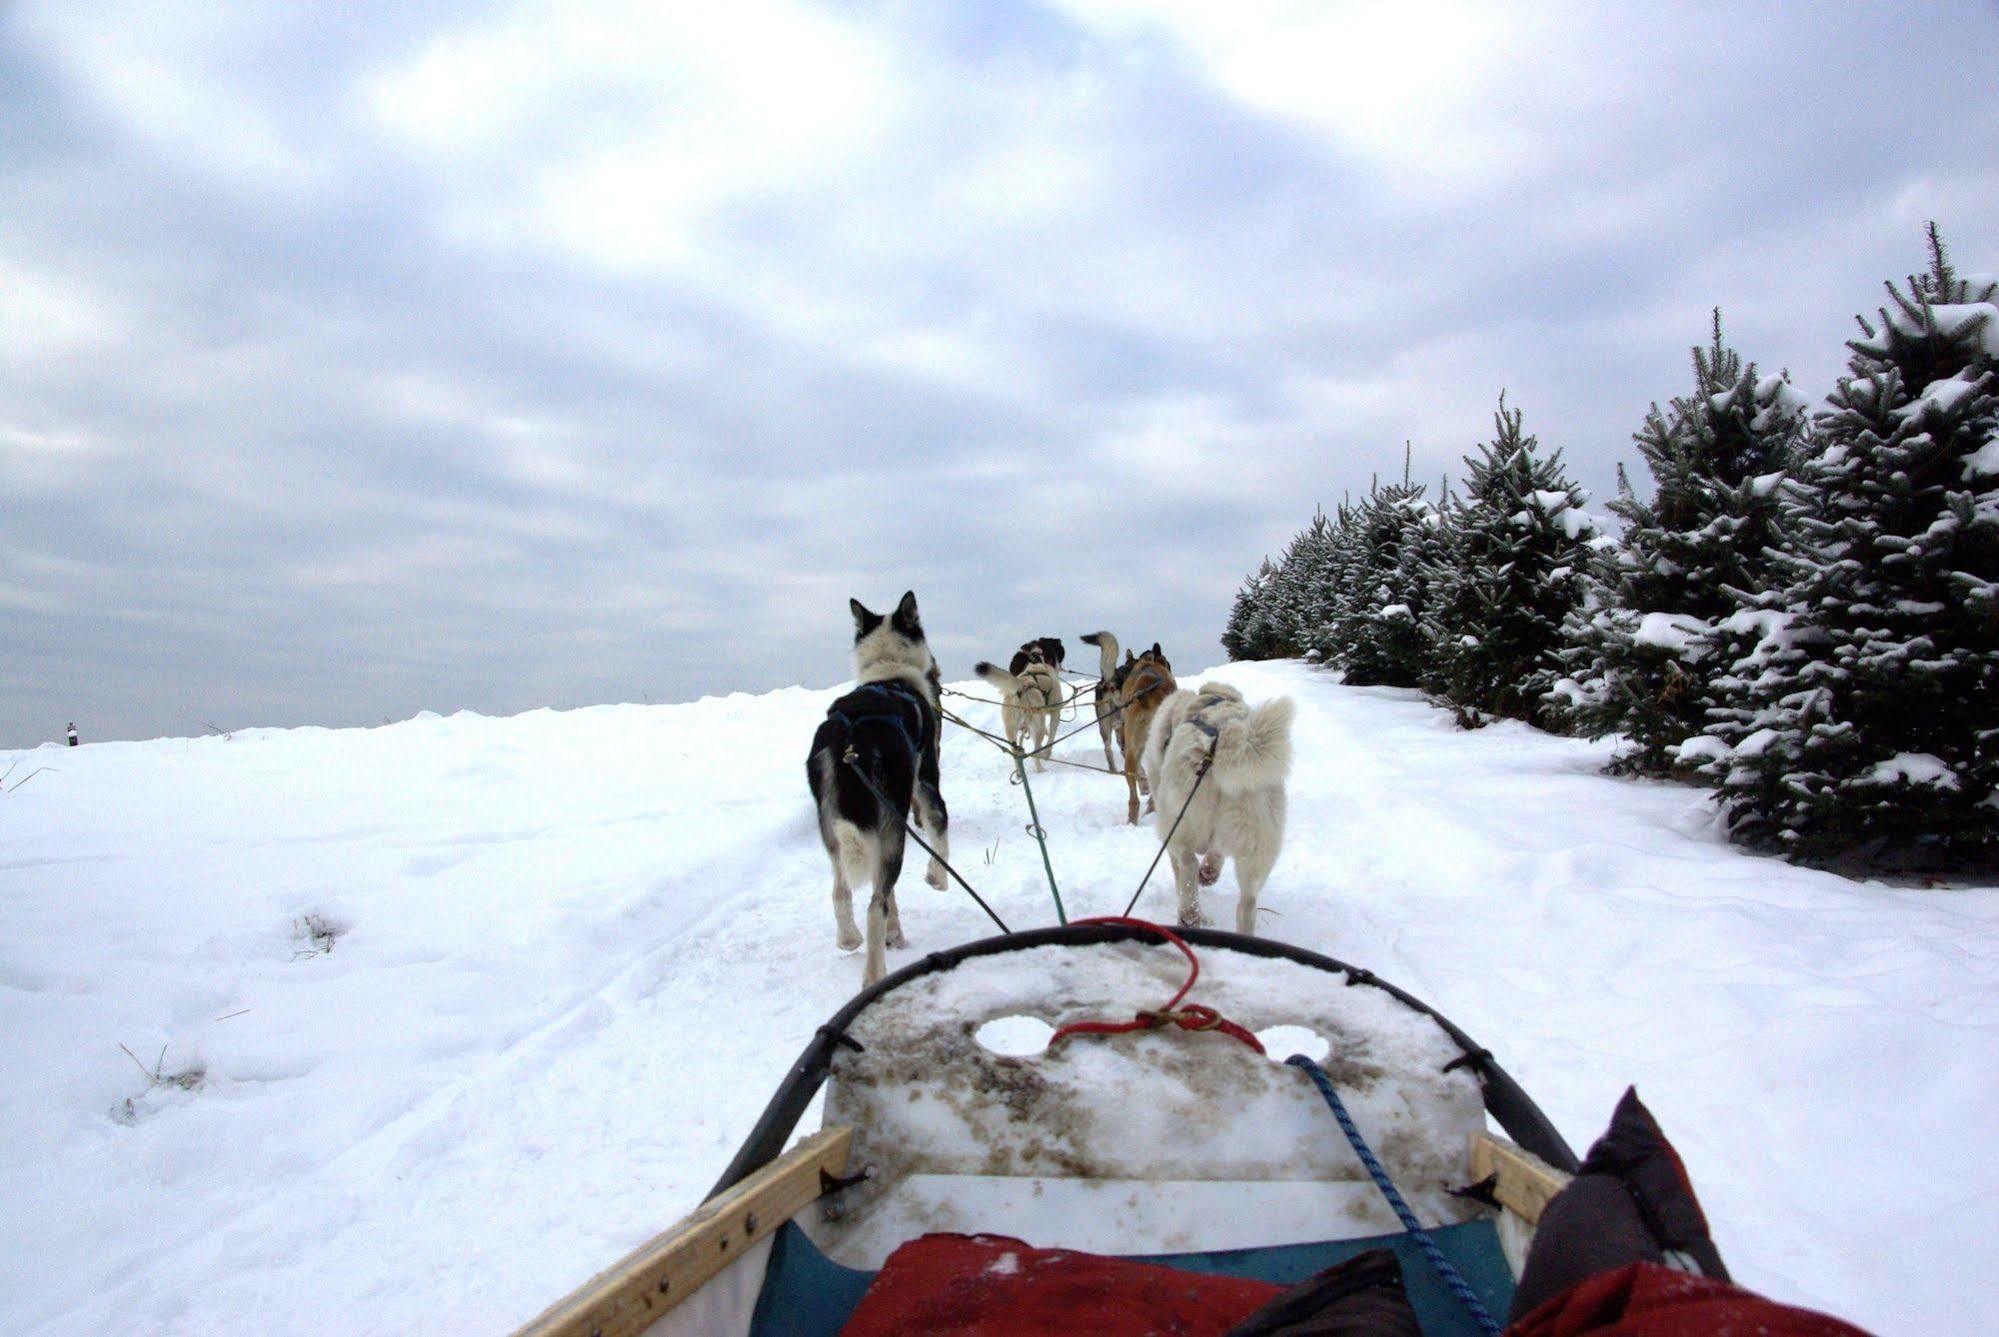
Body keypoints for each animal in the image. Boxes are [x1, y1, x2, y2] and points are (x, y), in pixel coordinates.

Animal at [803, 591, 951, 979]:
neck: (888, 672)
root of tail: (851, 739)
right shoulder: (927, 782)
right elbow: (940, 836)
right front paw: (938, 878)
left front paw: (894, 932)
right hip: (894, 822)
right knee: (874, 906)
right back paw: (874, 973)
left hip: (834, 829)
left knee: (843, 892)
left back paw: (850, 939)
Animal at [1143, 683, 1295, 935]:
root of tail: (1222, 741)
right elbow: (1217, 851)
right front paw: (1210, 871)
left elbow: (1179, 870)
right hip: (1257, 844)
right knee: (1247, 902)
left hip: (1177, 820)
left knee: (1187, 865)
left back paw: (1190, 915)